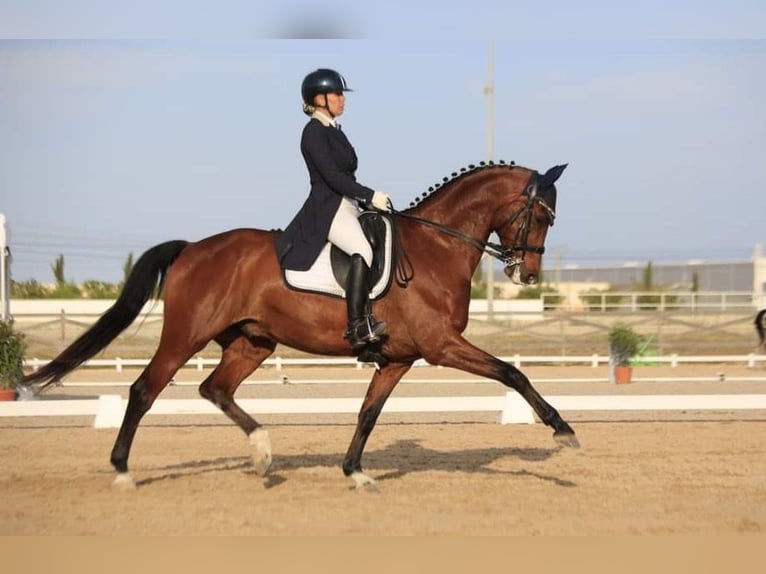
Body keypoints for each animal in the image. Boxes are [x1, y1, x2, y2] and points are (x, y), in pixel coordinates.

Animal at [21, 160, 578, 491]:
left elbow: (368, 413)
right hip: (185, 336)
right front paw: (562, 430)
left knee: (214, 389)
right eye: (542, 216)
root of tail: (193, 247)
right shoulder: (442, 345)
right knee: (143, 391)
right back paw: (122, 471)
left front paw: (355, 473)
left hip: (253, 342)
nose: (526, 274)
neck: (436, 246)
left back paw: (263, 453)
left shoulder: (398, 358)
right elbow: (512, 372)